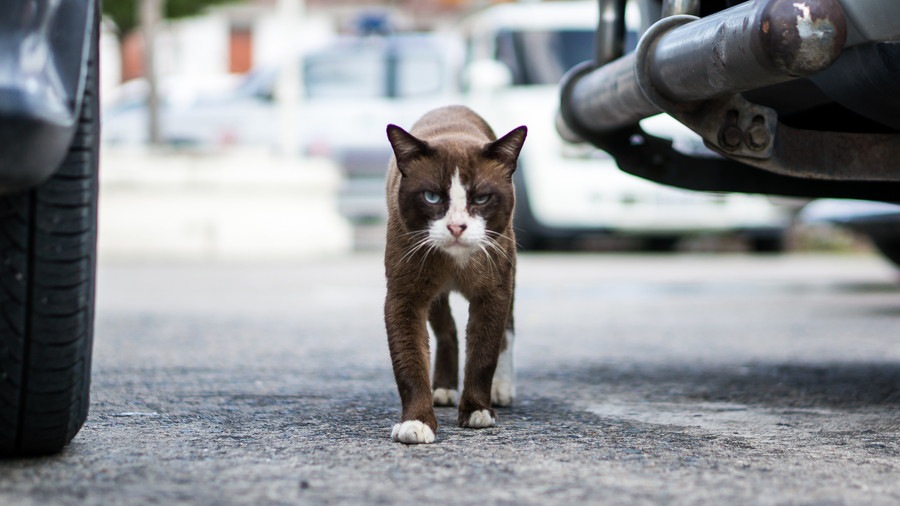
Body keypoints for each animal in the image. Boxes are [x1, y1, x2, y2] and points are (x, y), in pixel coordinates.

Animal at [382, 105, 524, 444]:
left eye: (481, 198)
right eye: (432, 197)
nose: (456, 227)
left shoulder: (493, 294)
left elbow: (484, 354)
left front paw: (477, 412)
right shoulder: (405, 297)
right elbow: (409, 361)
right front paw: (416, 424)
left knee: (508, 331)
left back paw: (501, 389)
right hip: (434, 293)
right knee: (447, 330)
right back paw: (444, 390)